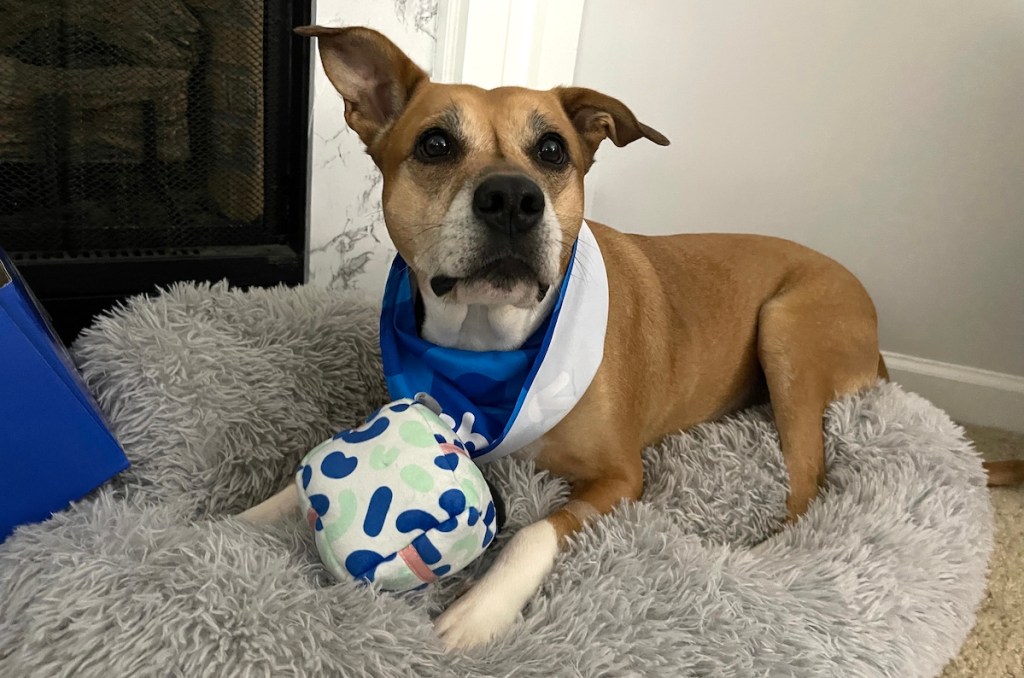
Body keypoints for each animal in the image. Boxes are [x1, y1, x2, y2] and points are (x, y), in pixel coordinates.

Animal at [239, 26, 1015, 655]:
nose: (513, 198)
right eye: (434, 143)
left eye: (553, 148)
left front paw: (479, 611)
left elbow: (532, 531)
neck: (492, 350)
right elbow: (302, 479)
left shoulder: (620, 477)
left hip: (788, 330)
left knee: (810, 481)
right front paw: (242, 521)